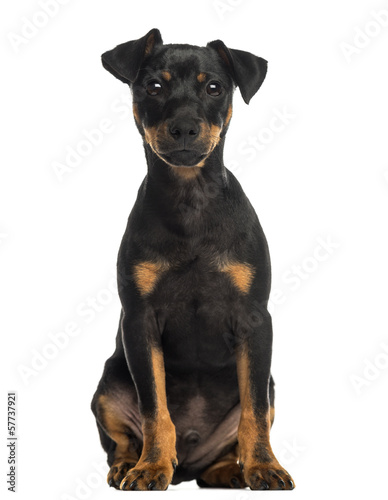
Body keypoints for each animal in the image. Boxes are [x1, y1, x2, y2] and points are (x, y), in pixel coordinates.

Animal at [91, 28, 294, 492]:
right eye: (154, 86)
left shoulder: (255, 320)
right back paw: (130, 466)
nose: (184, 127)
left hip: (270, 385)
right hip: (108, 387)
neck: (190, 200)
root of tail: (187, 465)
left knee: (233, 437)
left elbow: (255, 412)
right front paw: (150, 468)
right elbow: (155, 410)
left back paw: (228, 471)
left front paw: (265, 467)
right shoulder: (140, 321)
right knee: (121, 440)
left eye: (214, 88)